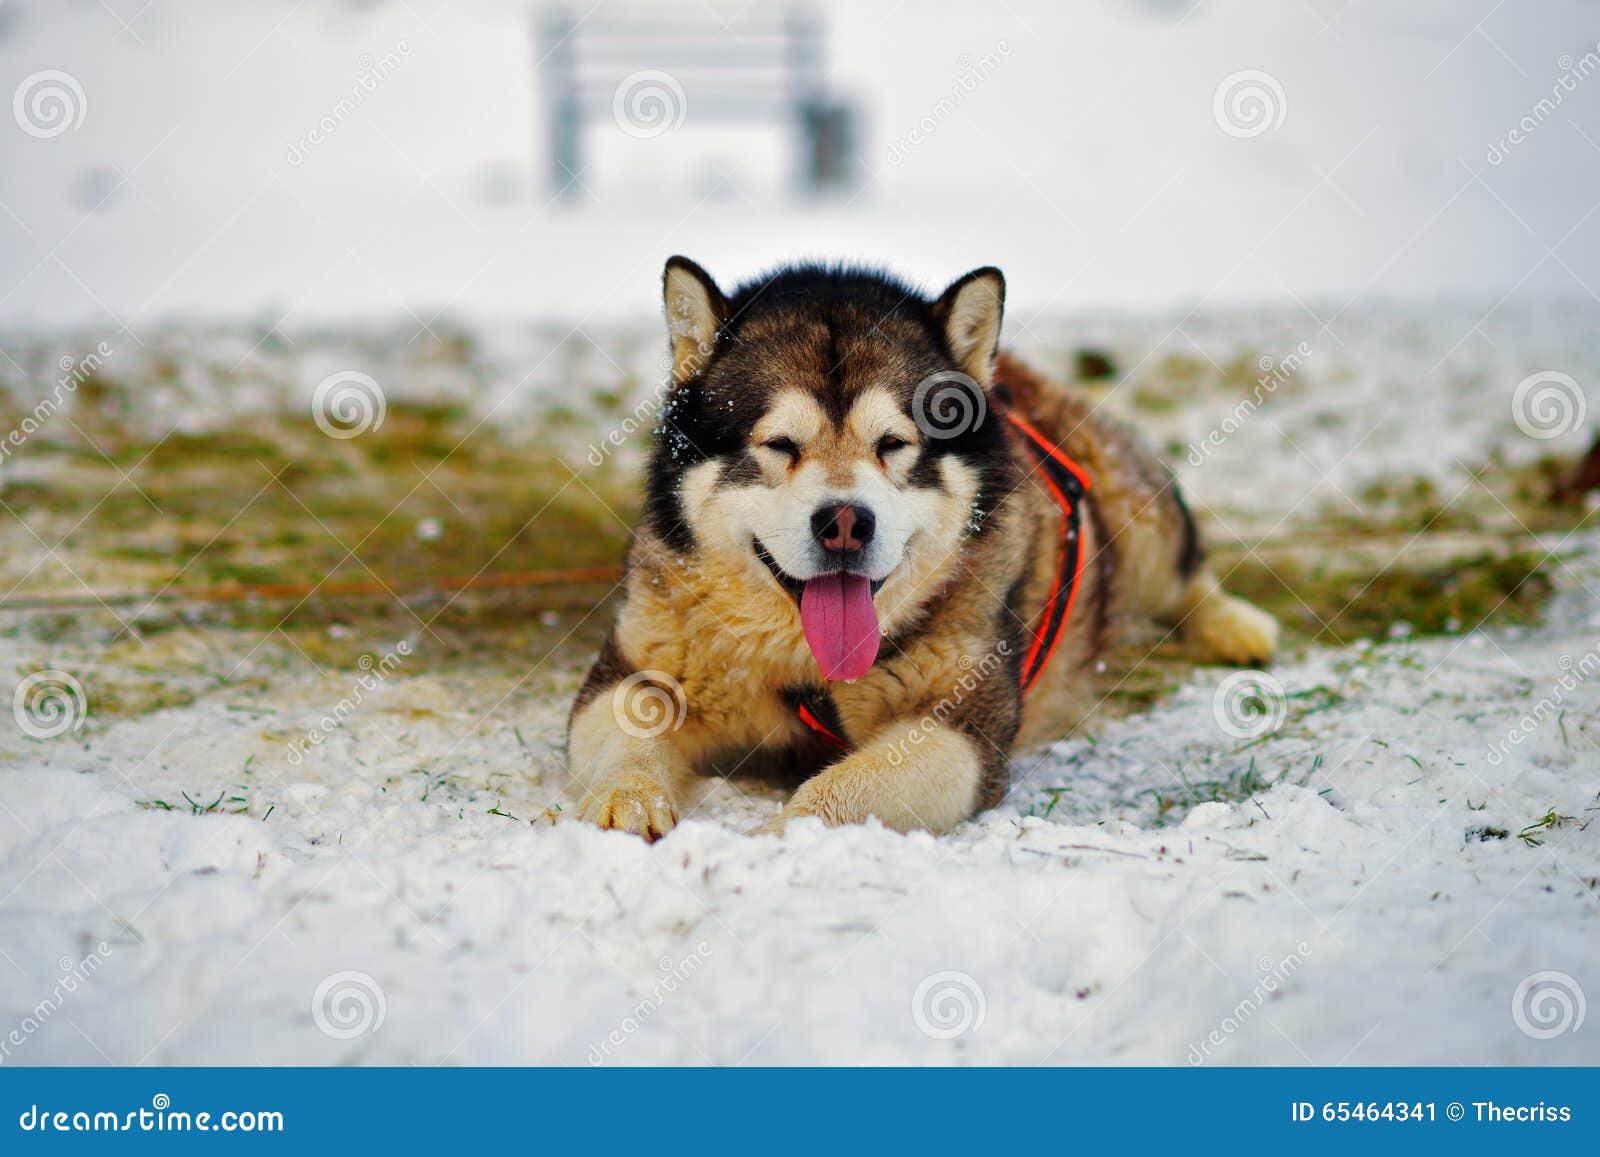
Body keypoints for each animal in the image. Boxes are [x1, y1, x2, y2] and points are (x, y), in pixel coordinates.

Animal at [569, 257, 1280, 838]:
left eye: (892, 443)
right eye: (780, 445)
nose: (845, 523)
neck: (810, 668)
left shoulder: (961, 726)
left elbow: (850, 784)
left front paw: (786, 834)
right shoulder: (639, 660)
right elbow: (632, 712)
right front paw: (627, 798)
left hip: (1139, 521)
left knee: (1183, 569)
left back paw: (1236, 627)